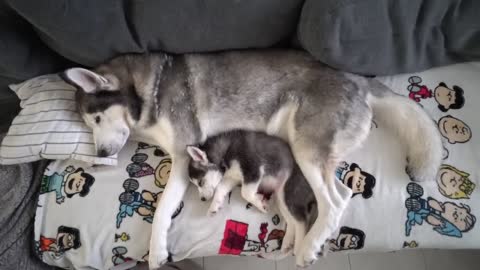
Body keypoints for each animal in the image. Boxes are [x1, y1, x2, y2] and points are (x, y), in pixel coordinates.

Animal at [188, 130, 318, 256]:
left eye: (200, 182)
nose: (202, 199)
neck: (226, 152)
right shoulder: (232, 178)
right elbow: (220, 189)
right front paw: (214, 207)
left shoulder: (253, 167)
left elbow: (245, 192)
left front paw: (259, 203)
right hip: (282, 198)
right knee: (291, 220)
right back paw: (287, 242)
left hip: (290, 192)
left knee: (302, 221)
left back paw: (299, 247)